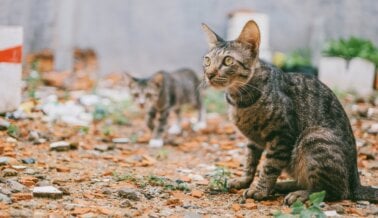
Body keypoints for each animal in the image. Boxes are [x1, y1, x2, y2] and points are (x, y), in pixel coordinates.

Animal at [201, 20, 376, 204]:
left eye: (228, 61)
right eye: (207, 60)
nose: (209, 74)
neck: (239, 101)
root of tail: (356, 182)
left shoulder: (282, 135)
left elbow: (269, 166)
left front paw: (260, 190)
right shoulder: (253, 140)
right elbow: (249, 161)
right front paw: (244, 181)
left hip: (313, 138)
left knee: (332, 191)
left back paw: (299, 194)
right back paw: (282, 186)